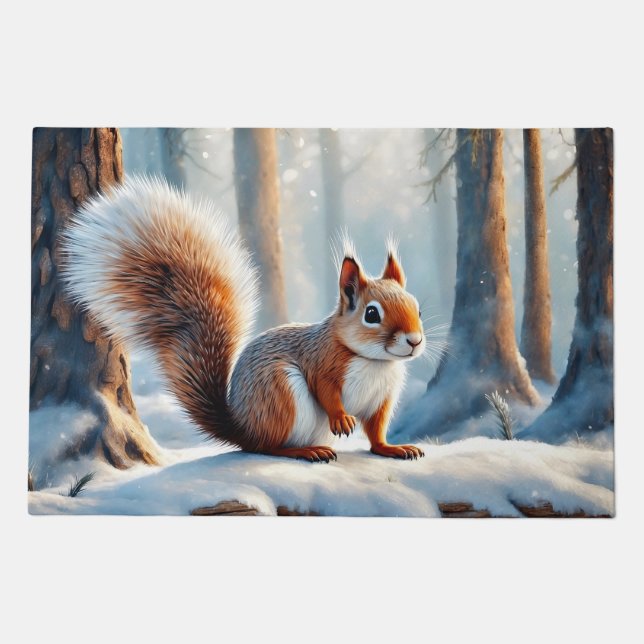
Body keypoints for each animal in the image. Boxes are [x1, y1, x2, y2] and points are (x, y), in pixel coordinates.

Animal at [61, 177, 426, 463]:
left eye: (418, 308)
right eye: (371, 314)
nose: (414, 341)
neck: (374, 362)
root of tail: (243, 428)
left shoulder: (384, 398)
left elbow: (377, 430)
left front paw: (393, 448)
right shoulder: (323, 362)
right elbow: (326, 391)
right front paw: (341, 419)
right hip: (280, 392)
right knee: (267, 447)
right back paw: (304, 451)